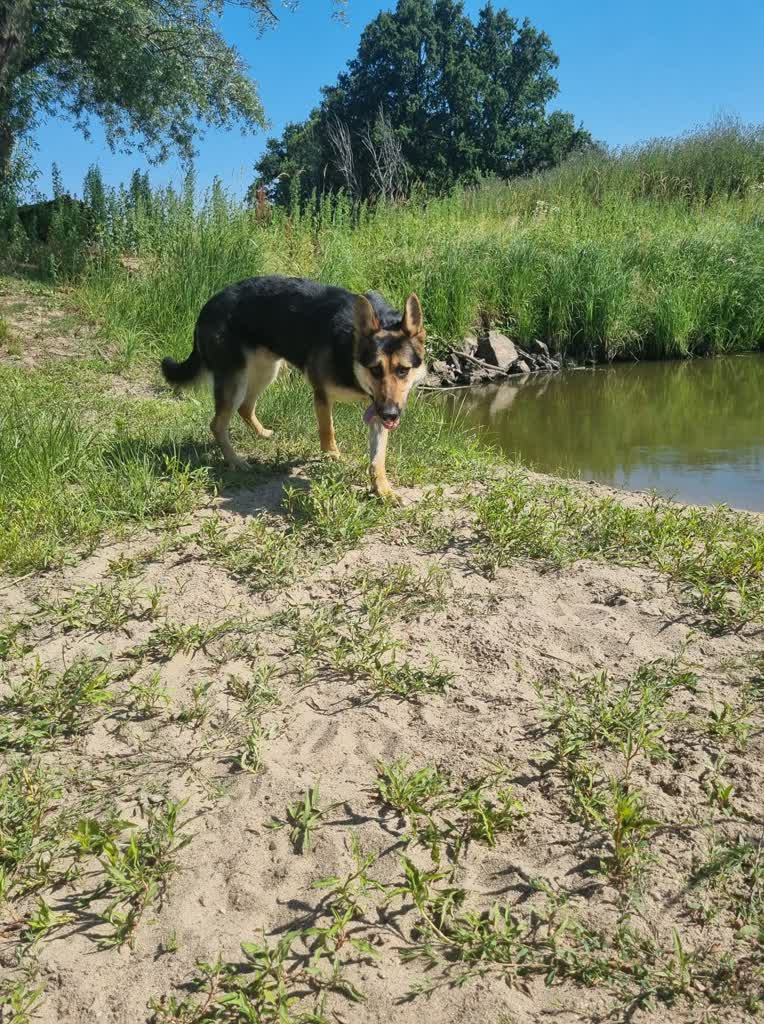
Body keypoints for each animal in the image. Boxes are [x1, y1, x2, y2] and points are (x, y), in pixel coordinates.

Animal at [160, 275, 427, 501]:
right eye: (375, 370)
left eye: (402, 371)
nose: (391, 415)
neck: (350, 351)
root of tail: (208, 306)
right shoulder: (322, 395)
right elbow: (327, 430)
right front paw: (332, 457)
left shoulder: (378, 409)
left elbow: (377, 459)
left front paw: (383, 489)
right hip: (235, 382)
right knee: (217, 424)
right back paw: (236, 461)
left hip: (265, 371)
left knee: (245, 407)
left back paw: (262, 433)